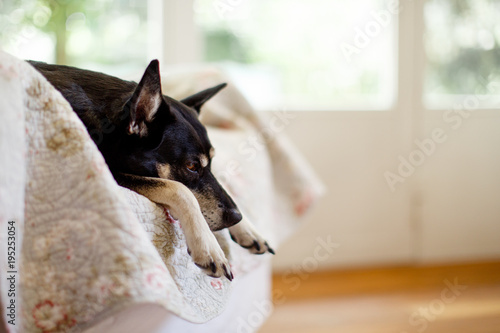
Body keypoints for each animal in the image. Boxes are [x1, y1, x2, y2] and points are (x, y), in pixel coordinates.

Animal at [28, 60, 274, 280]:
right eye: (191, 166)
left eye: (211, 161)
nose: (236, 217)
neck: (105, 123)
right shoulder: (105, 167)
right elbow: (180, 190)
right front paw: (208, 246)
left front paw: (247, 229)